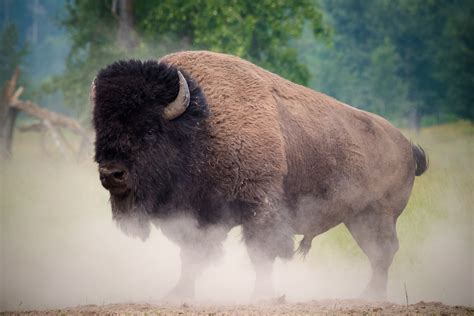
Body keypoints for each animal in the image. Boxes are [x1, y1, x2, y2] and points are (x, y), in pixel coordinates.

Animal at [90, 51, 428, 302]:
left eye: (149, 131)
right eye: (100, 129)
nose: (112, 174)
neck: (202, 125)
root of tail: (406, 145)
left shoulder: (259, 207)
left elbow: (261, 253)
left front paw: (262, 296)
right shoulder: (195, 216)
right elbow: (191, 255)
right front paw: (178, 294)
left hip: (378, 215)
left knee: (383, 252)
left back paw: (371, 296)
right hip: (357, 218)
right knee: (378, 254)